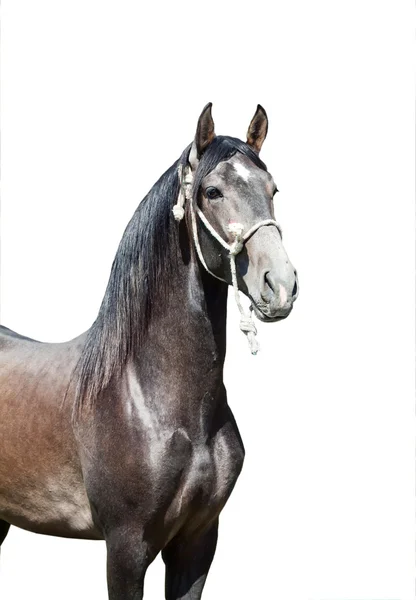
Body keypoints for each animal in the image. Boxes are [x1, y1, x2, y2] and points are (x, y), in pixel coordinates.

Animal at [0, 104, 300, 600]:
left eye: (273, 189)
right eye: (212, 191)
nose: (280, 284)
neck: (151, 398)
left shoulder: (197, 542)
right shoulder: (125, 548)